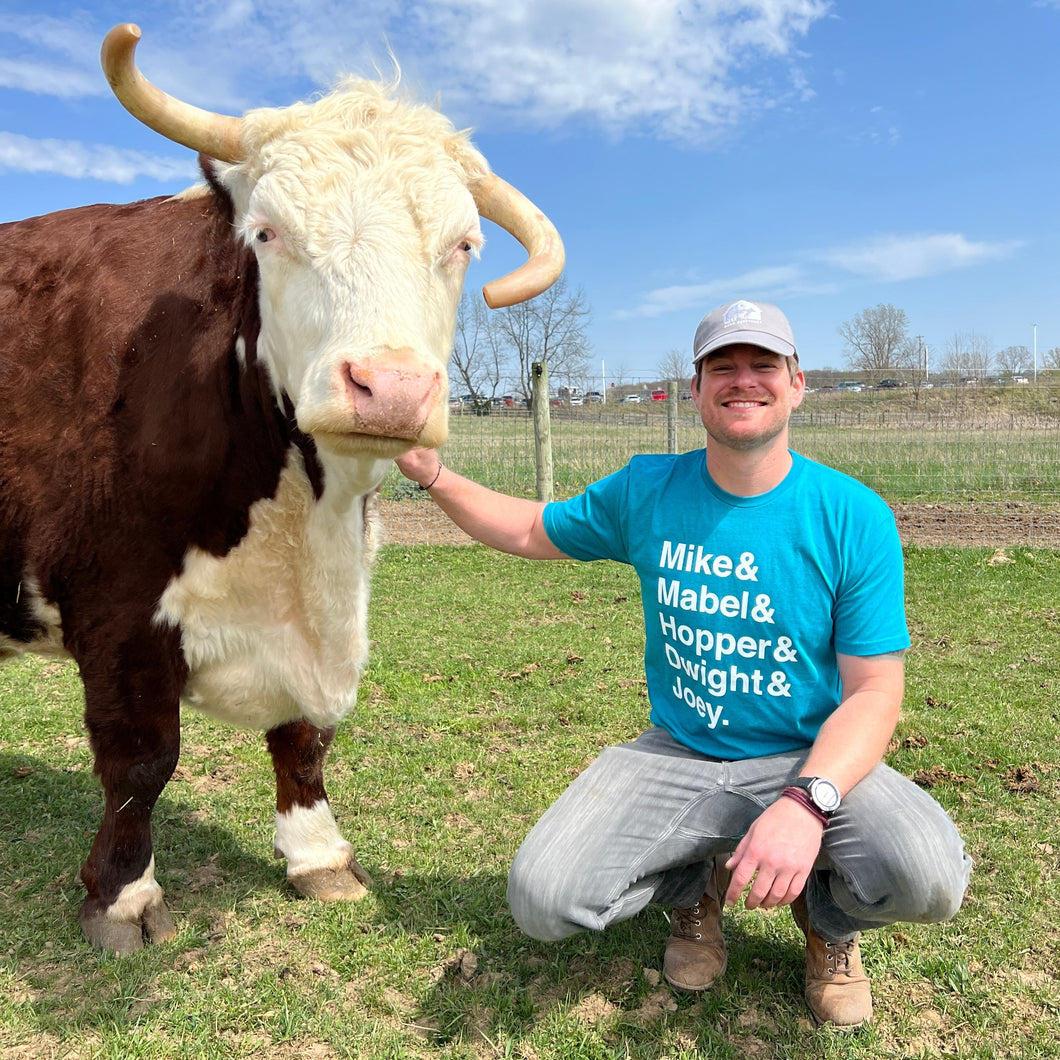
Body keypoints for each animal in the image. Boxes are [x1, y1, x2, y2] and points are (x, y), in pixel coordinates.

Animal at [0, 22, 563, 953]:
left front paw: (319, 855)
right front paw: (121, 895)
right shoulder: (116, 603)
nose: (390, 387)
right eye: (267, 233)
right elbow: (141, 757)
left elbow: (305, 736)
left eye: (463, 245)